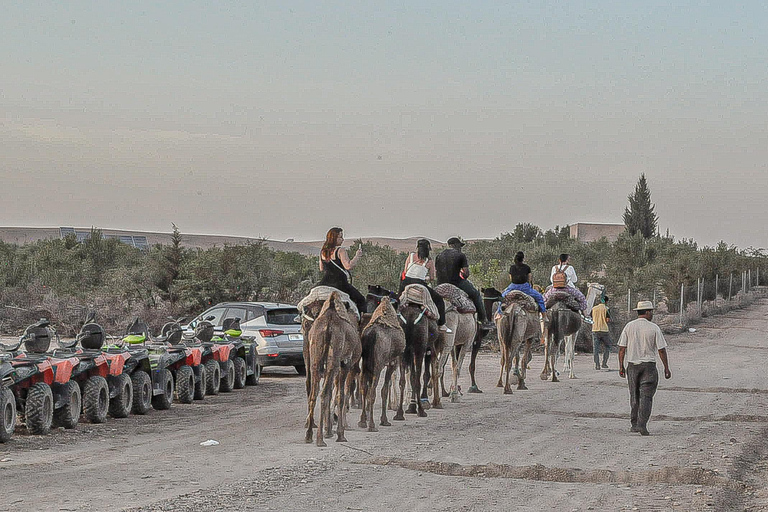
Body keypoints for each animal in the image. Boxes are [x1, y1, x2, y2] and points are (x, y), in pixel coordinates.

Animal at [304, 290, 362, 446]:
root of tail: (328, 326)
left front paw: (329, 430)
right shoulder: (345, 364)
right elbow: (340, 396)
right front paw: (340, 434)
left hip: (315, 359)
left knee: (314, 393)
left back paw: (309, 435)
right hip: (335, 359)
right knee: (324, 393)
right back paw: (320, 439)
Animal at [358, 298, 408, 430]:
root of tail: (371, 335)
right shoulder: (393, 362)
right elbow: (385, 389)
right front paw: (386, 419)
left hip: (365, 364)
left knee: (364, 388)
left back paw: (363, 421)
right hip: (378, 364)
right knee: (373, 391)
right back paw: (372, 425)